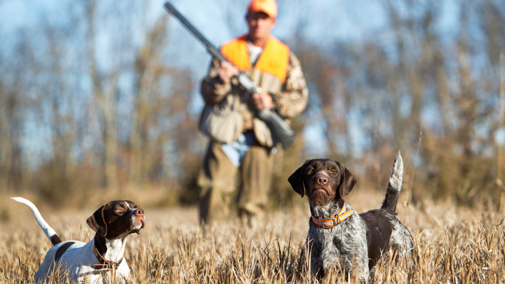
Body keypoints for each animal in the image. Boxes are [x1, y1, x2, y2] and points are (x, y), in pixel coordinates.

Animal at [290, 151, 412, 282]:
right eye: (311, 169)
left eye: (333, 170)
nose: (321, 179)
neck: (327, 221)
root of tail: (387, 211)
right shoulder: (313, 270)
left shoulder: (357, 271)